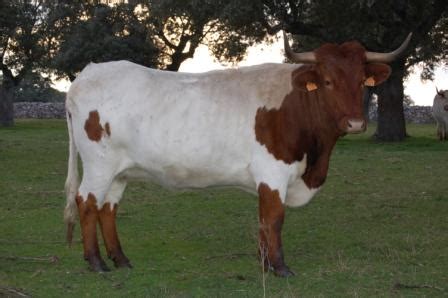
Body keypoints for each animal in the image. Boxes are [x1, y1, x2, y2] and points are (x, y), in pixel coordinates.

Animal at [65, 32, 412, 278]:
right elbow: (274, 218)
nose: (355, 123)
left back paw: (121, 260)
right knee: (87, 202)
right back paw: (96, 262)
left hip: (119, 171)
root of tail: (89, 72)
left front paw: (265, 264)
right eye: (327, 81)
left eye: (361, 81)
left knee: (107, 208)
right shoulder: (273, 172)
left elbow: (263, 219)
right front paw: (280, 268)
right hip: (98, 164)